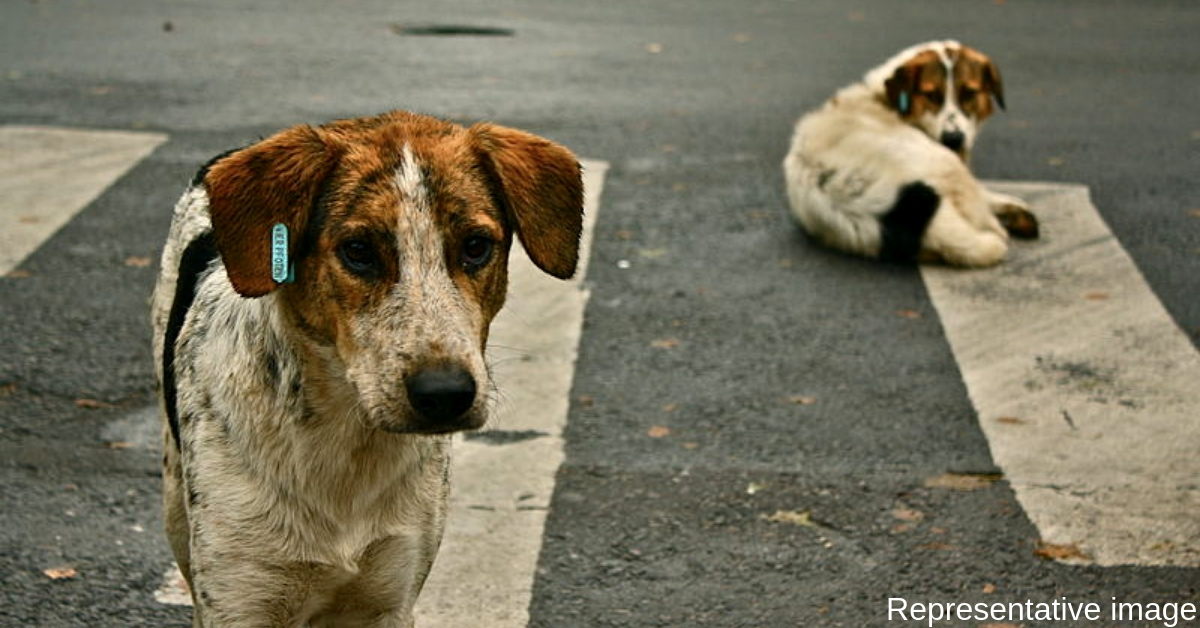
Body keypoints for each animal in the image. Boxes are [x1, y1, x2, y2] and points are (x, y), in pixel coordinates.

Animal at [152, 110, 583, 624]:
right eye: (357, 250)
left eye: (476, 246)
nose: (445, 394)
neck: (346, 443)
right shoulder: (240, 598)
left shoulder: (389, 596)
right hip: (176, 503)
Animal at [782, 39, 1036, 265]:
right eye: (931, 95)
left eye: (969, 93)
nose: (953, 139)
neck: (884, 99)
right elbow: (983, 195)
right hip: (944, 163)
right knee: (983, 218)